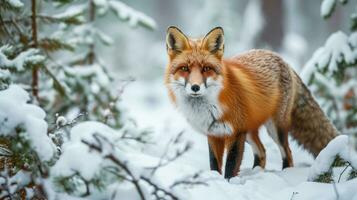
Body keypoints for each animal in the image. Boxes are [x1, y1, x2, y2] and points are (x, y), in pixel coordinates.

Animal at [163, 26, 336, 178]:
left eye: (206, 68)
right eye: (184, 68)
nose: (195, 87)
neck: (210, 108)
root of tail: (283, 60)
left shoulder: (236, 132)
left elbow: (231, 166)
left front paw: (229, 184)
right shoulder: (213, 134)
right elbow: (214, 165)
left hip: (275, 129)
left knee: (287, 153)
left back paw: (285, 174)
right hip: (250, 132)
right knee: (262, 152)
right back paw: (256, 173)